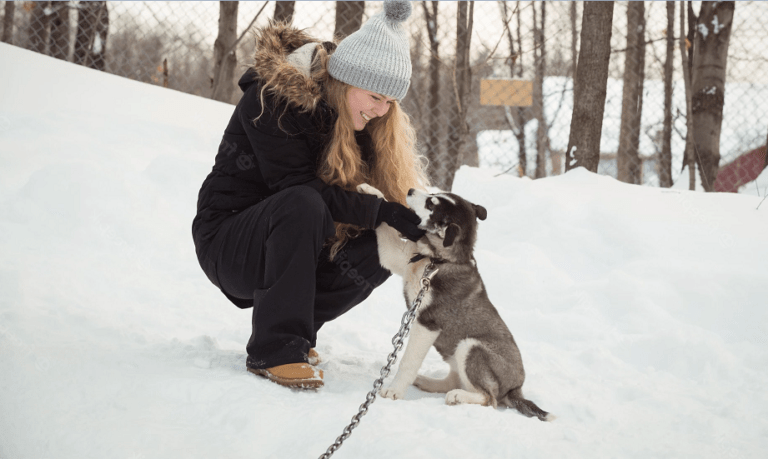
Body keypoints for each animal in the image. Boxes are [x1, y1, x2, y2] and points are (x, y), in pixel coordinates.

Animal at [356, 185, 548, 422]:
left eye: (430, 204)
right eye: (433, 195)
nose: (410, 190)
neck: (437, 261)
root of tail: (516, 389)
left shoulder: (427, 323)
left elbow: (408, 361)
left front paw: (394, 390)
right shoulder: (398, 258)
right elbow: (385, 227)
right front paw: (372, 192)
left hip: (471, 346)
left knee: (489, 399)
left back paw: (457, 396)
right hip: (456, 353)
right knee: (455, 381)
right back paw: (428, 382)